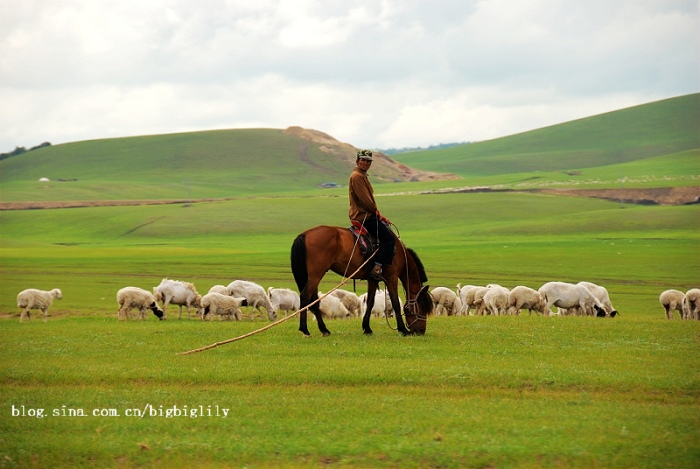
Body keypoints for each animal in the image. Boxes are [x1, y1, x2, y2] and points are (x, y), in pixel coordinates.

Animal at [290, 224, 432, 336]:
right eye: (422, 308)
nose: (421, 331)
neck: (398, 253)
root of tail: (304, 234)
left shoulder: (373, 279)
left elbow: (370, 302)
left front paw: (367, 328)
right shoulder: (392, 278)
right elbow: (396, 303)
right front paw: (403, 329)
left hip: (313, 276)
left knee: (314, 300)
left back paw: (324, 329)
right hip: (316, 275)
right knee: (305, 297)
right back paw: (305, 330)